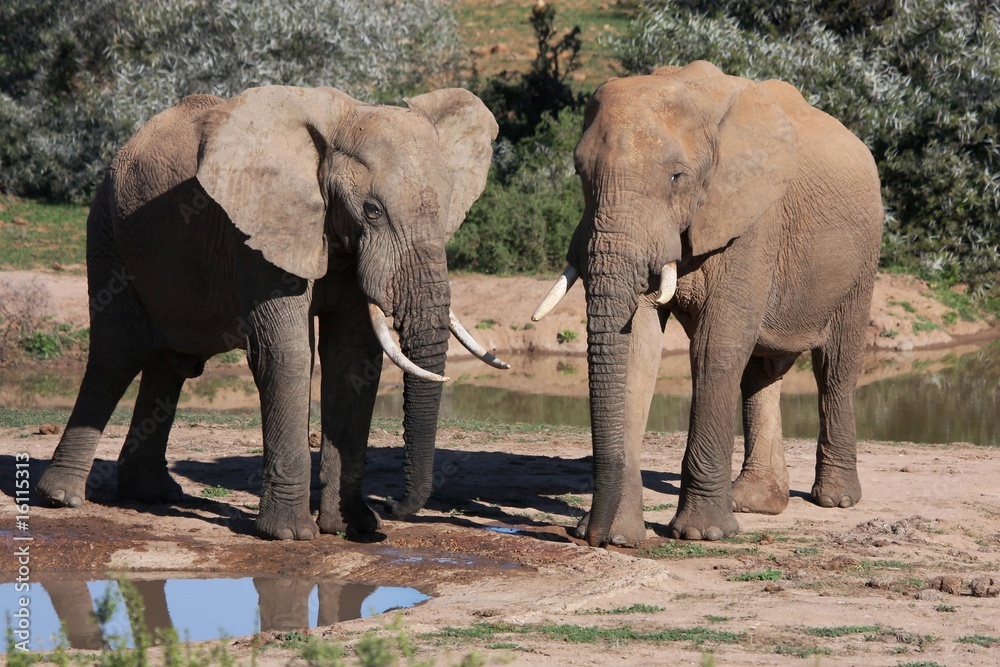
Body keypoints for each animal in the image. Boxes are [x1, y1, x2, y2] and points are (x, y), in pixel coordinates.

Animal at [37, 85, 508, 540]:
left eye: (447, 211)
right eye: (372, 211)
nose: (392, 505)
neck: (345, 121)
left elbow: (352, 360)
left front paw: (354, 527)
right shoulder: (258, 229)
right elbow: (288, 355)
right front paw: (289, 534)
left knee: (170, 364)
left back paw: (153, 494)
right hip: (107, 234)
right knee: (116, 355)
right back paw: (62, 498)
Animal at [533, 61, 883, 546]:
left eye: (677, 177)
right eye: (580, 173)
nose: (587, 536)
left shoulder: (753, 219)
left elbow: (716, 346)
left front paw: (702, 534)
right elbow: (639, 348)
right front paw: (622, 538)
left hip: (862, 255)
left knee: (835, 365)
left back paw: (836, 499)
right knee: (761, 371)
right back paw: (755, 503)